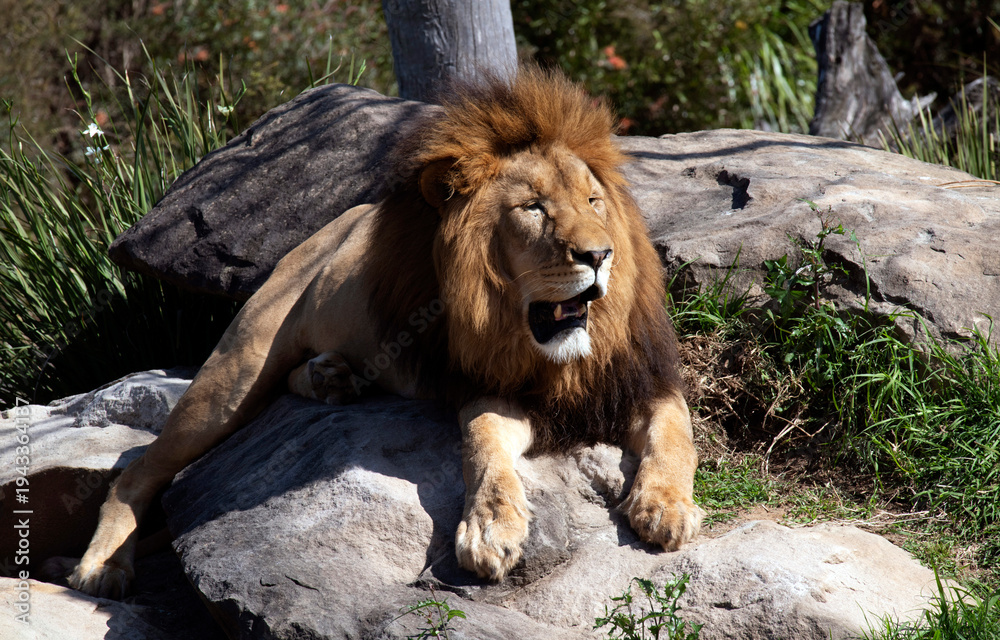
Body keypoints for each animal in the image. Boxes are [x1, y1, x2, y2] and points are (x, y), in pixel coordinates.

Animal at [67, 67, 704, 598]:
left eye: (594, 201)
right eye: (533, 209)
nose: (599, 255)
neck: (559, 358)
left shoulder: (643, 381)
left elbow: (678, 434)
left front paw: (666, 508)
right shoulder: (490, 389)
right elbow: (484, 446)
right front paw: (491, 529)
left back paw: (331, 378)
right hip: (236, 370)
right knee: (138, 468)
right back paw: (102, 568)